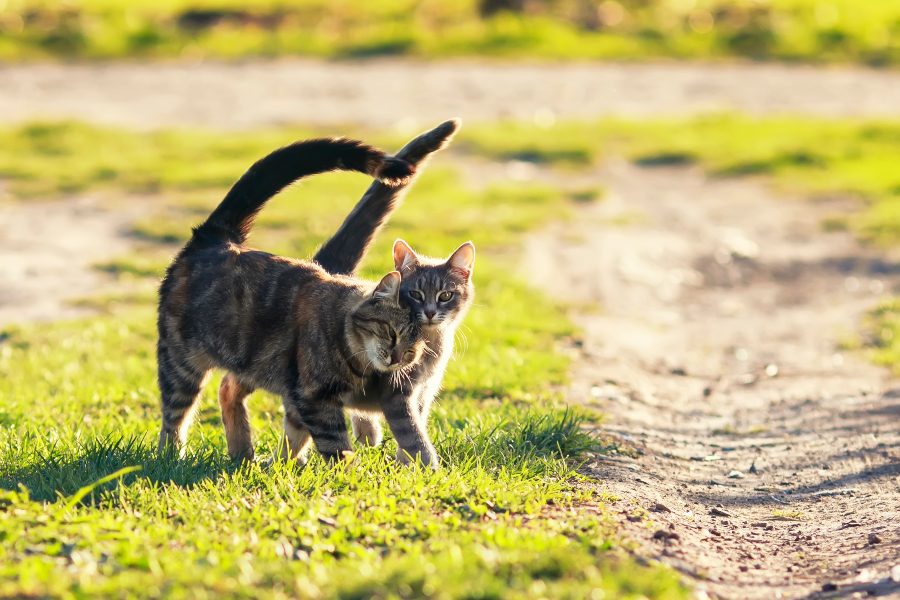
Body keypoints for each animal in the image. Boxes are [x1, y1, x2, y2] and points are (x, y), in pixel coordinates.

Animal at [157, 136, 436, 464]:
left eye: (413, 350)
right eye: (392, 332)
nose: (396, 358)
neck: (359, 363)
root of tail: (215, 237)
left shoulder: (300, 397)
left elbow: (296, 434)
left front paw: (285, 464)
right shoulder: (314, 397)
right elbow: (336, 445)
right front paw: (348, 471)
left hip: (255, 362)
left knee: (227, 389)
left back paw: (243, 455)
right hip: (181, 363)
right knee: (174, 416)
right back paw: (171, 456)